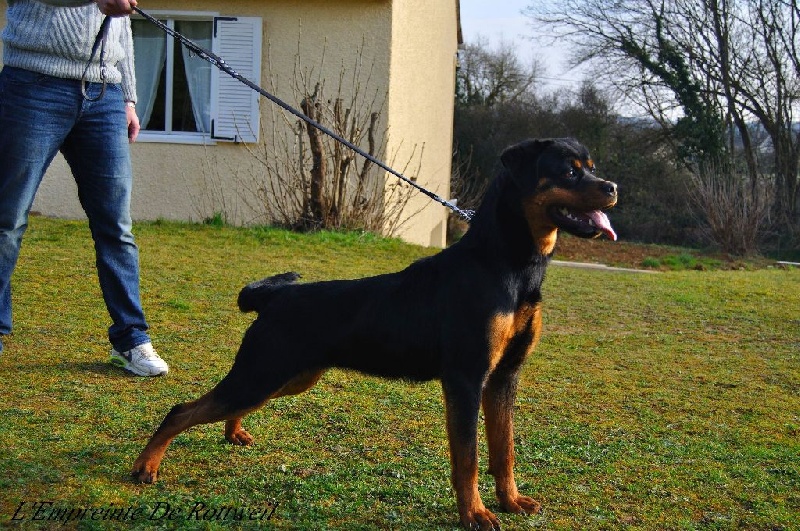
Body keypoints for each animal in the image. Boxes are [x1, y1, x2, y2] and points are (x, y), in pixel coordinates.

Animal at [133, 139, 620, 528]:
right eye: (569, 170)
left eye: (591, 166)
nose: (612, 187)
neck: (508, 264)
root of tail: (275, 297)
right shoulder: (465, 379)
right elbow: (467, 458)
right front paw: (475, 514)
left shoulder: (503, 378)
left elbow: (504, 451)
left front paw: (510, 501)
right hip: (262, 374)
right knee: (181, 410)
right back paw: (145, 467)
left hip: (285, 377)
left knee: (229, 407)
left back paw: (233, 433)